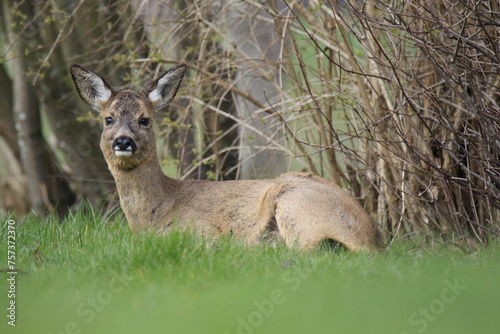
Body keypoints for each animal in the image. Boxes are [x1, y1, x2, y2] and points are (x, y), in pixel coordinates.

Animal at [70, 63, 382, 250]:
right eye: (108, 119)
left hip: (295, 204)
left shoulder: (201, 231)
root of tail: (370, 235)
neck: (155, 215)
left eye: (144, 119)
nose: (123, 141)